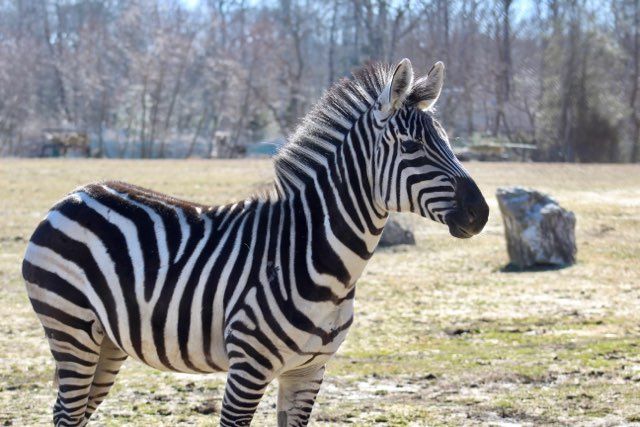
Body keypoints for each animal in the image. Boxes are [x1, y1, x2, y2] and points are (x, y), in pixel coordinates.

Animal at [21, 58, 490, 426]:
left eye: (448, 141)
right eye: (411, 146)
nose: (481, 213)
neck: (316, 257)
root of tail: (76, 193)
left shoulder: (308, 373)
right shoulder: (248, 367)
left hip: (107, 342)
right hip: (71, 330)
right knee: (66, 413)